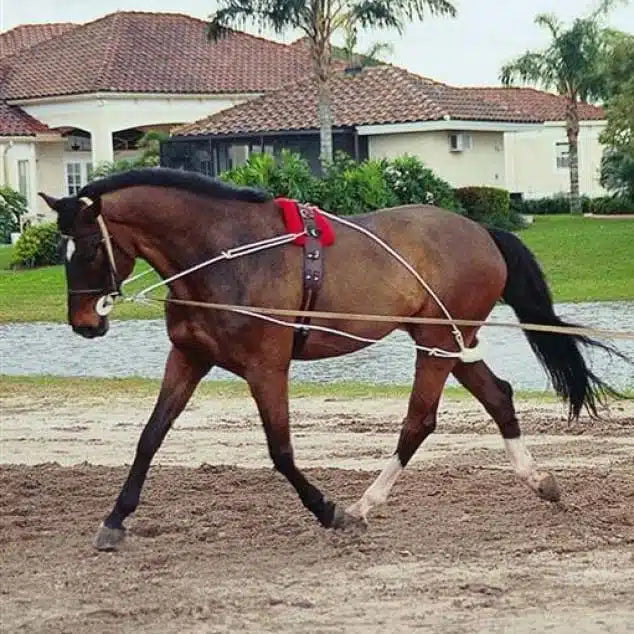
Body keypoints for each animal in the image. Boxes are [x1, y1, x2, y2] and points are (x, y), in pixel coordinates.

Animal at [39, 167, 624, 548]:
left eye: (89, 248)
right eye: (61, 250)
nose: (85, 323)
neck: (222, 254)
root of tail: (482, 230)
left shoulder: (266, 368)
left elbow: (280, 452)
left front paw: (327, 510)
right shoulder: (187, 358)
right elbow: (150, 437)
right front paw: (115, 519)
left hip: (435, 345)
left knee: (419, 421)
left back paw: (364, 505)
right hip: (449, 343)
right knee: (498, 398)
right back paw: (539, 481)